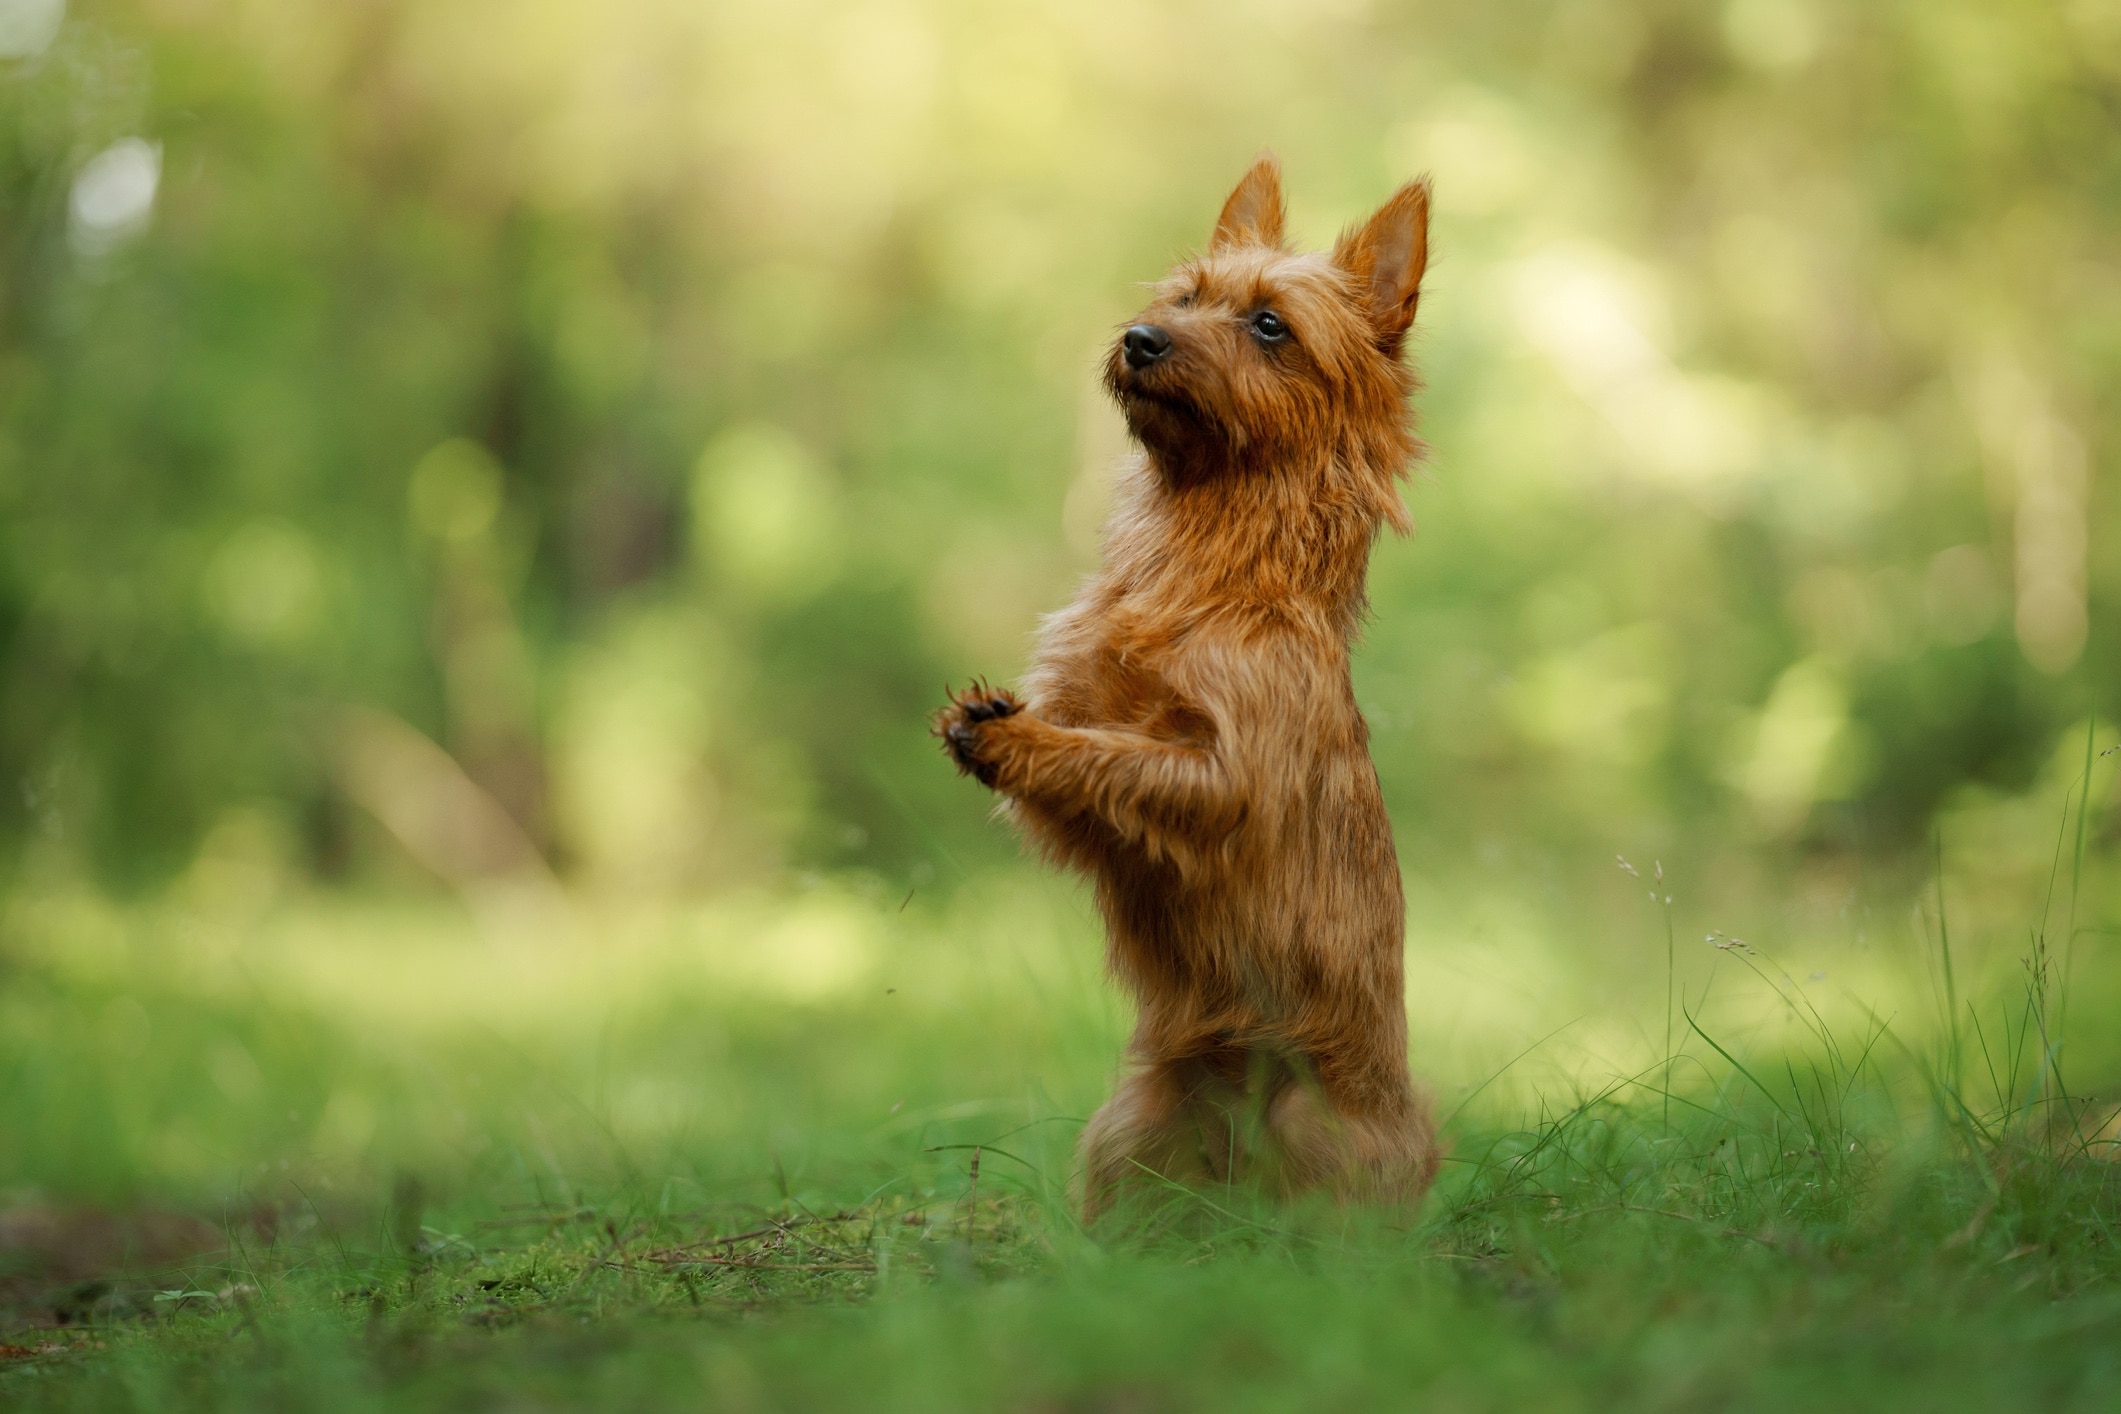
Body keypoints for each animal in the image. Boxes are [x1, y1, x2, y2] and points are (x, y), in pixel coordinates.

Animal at [933, 152, 1442, 1221]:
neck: (1202, 562)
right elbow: (1085, 748)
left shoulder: (1230, 777)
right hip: (1130, 1133)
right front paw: (994, 725)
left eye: (1269, 325)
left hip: (1321, 1141)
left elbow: (1119, 761)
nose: (1141, 338)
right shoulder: (1085, 727)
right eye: (1182, 298)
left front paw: (1022, 741)